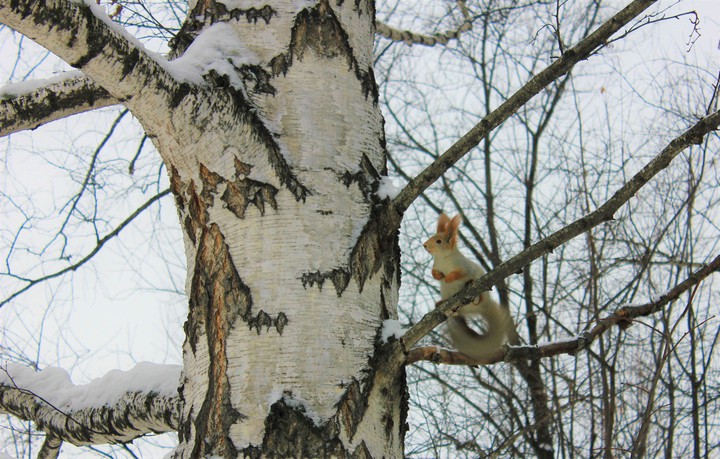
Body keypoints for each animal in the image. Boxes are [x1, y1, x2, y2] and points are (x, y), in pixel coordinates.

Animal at [423, 213, 513, 361]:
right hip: (447, 293)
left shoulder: (464, 267)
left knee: (479, 298)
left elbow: (459, 274)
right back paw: (442, 304)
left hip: (481, 293)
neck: (443, 259)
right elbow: (433, 272)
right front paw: (438, 276)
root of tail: (484, 307)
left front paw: (448, 278)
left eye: (439, 241)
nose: (424, 245)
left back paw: (474, 293)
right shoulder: (436, 265)